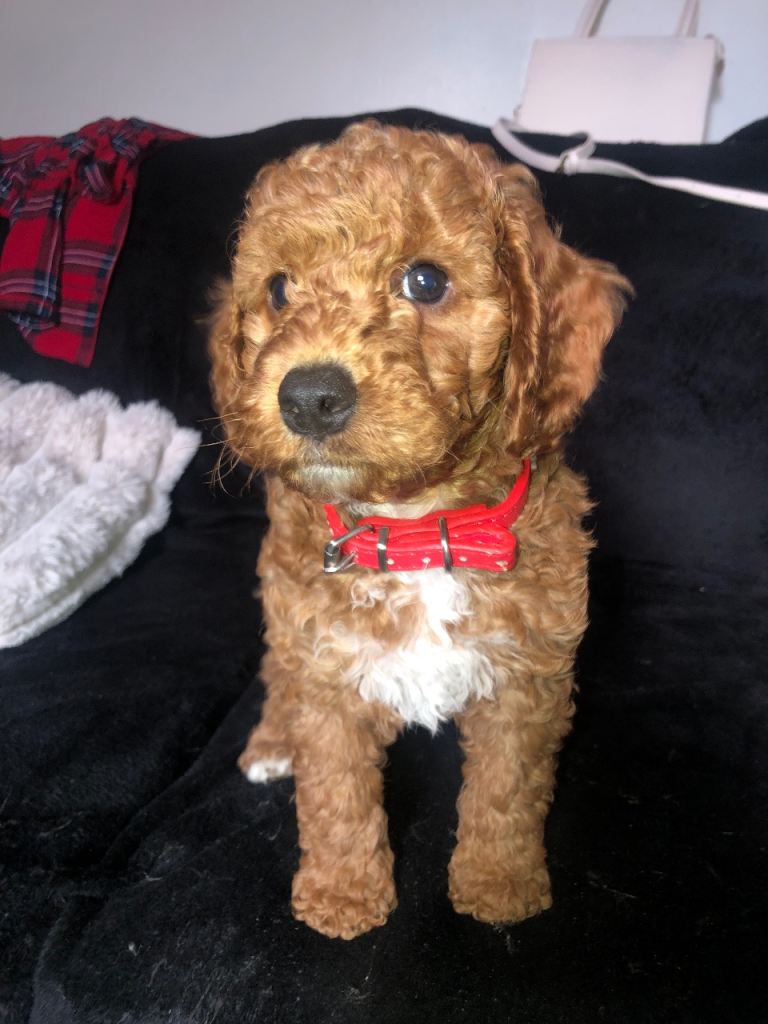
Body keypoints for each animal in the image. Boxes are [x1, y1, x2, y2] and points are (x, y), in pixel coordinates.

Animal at [209, 121, 628, 939]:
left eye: (426, 282)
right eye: (277, 290)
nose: (307, 396)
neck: (415, 525)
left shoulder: (528, 682)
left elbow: (506, 792)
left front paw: (499, 886)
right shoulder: (325, 666)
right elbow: (335, 792)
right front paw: (342, 895)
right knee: (277, 679)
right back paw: (272, 743)